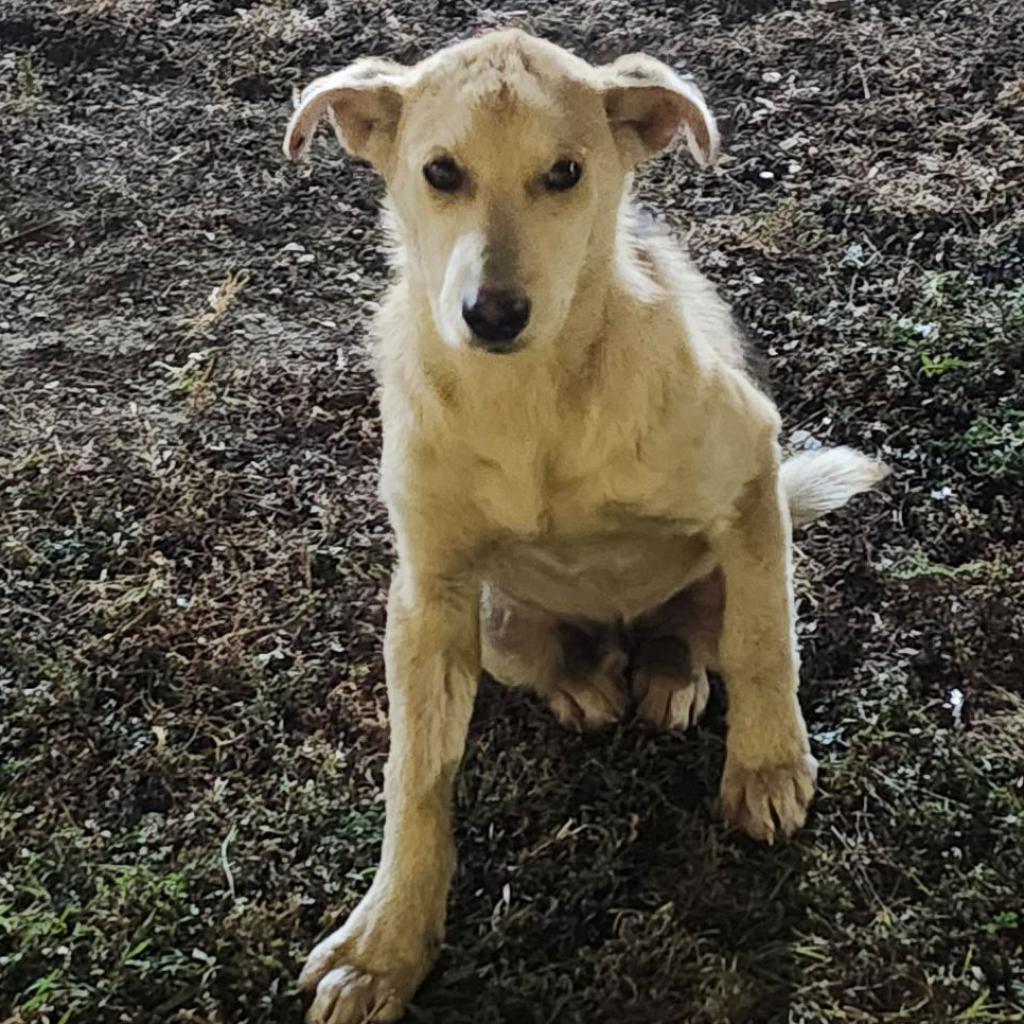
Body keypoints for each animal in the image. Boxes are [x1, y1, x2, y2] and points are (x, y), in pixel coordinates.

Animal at [282, 32, 888, 1024]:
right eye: (440, 172)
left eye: (565, 173)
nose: (493, 313)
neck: (532, 402)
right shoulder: (427, 596)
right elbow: (416, 777)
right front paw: (387, 945)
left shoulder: (749, 474)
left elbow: (767, 648)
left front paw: (766, 768)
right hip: (492, 620)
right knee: (561, 659)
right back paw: (583, 685)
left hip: (737, 560)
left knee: (705, 635)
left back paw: (671, 678)